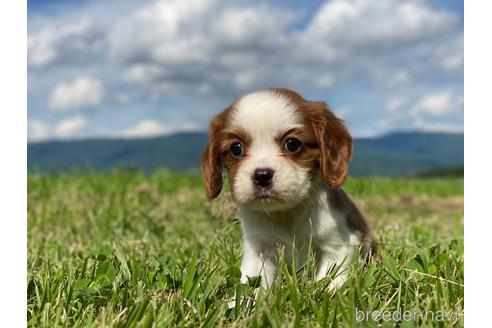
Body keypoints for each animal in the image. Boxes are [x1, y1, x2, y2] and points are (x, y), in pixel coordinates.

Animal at [200, 88, 372, 290]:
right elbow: (251, 284)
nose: (262, 175)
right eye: (236, 148)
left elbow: (329, 279)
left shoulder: (337, 244)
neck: (286, 212)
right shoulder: (259, 249)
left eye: (292, 144)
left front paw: (326, 292)